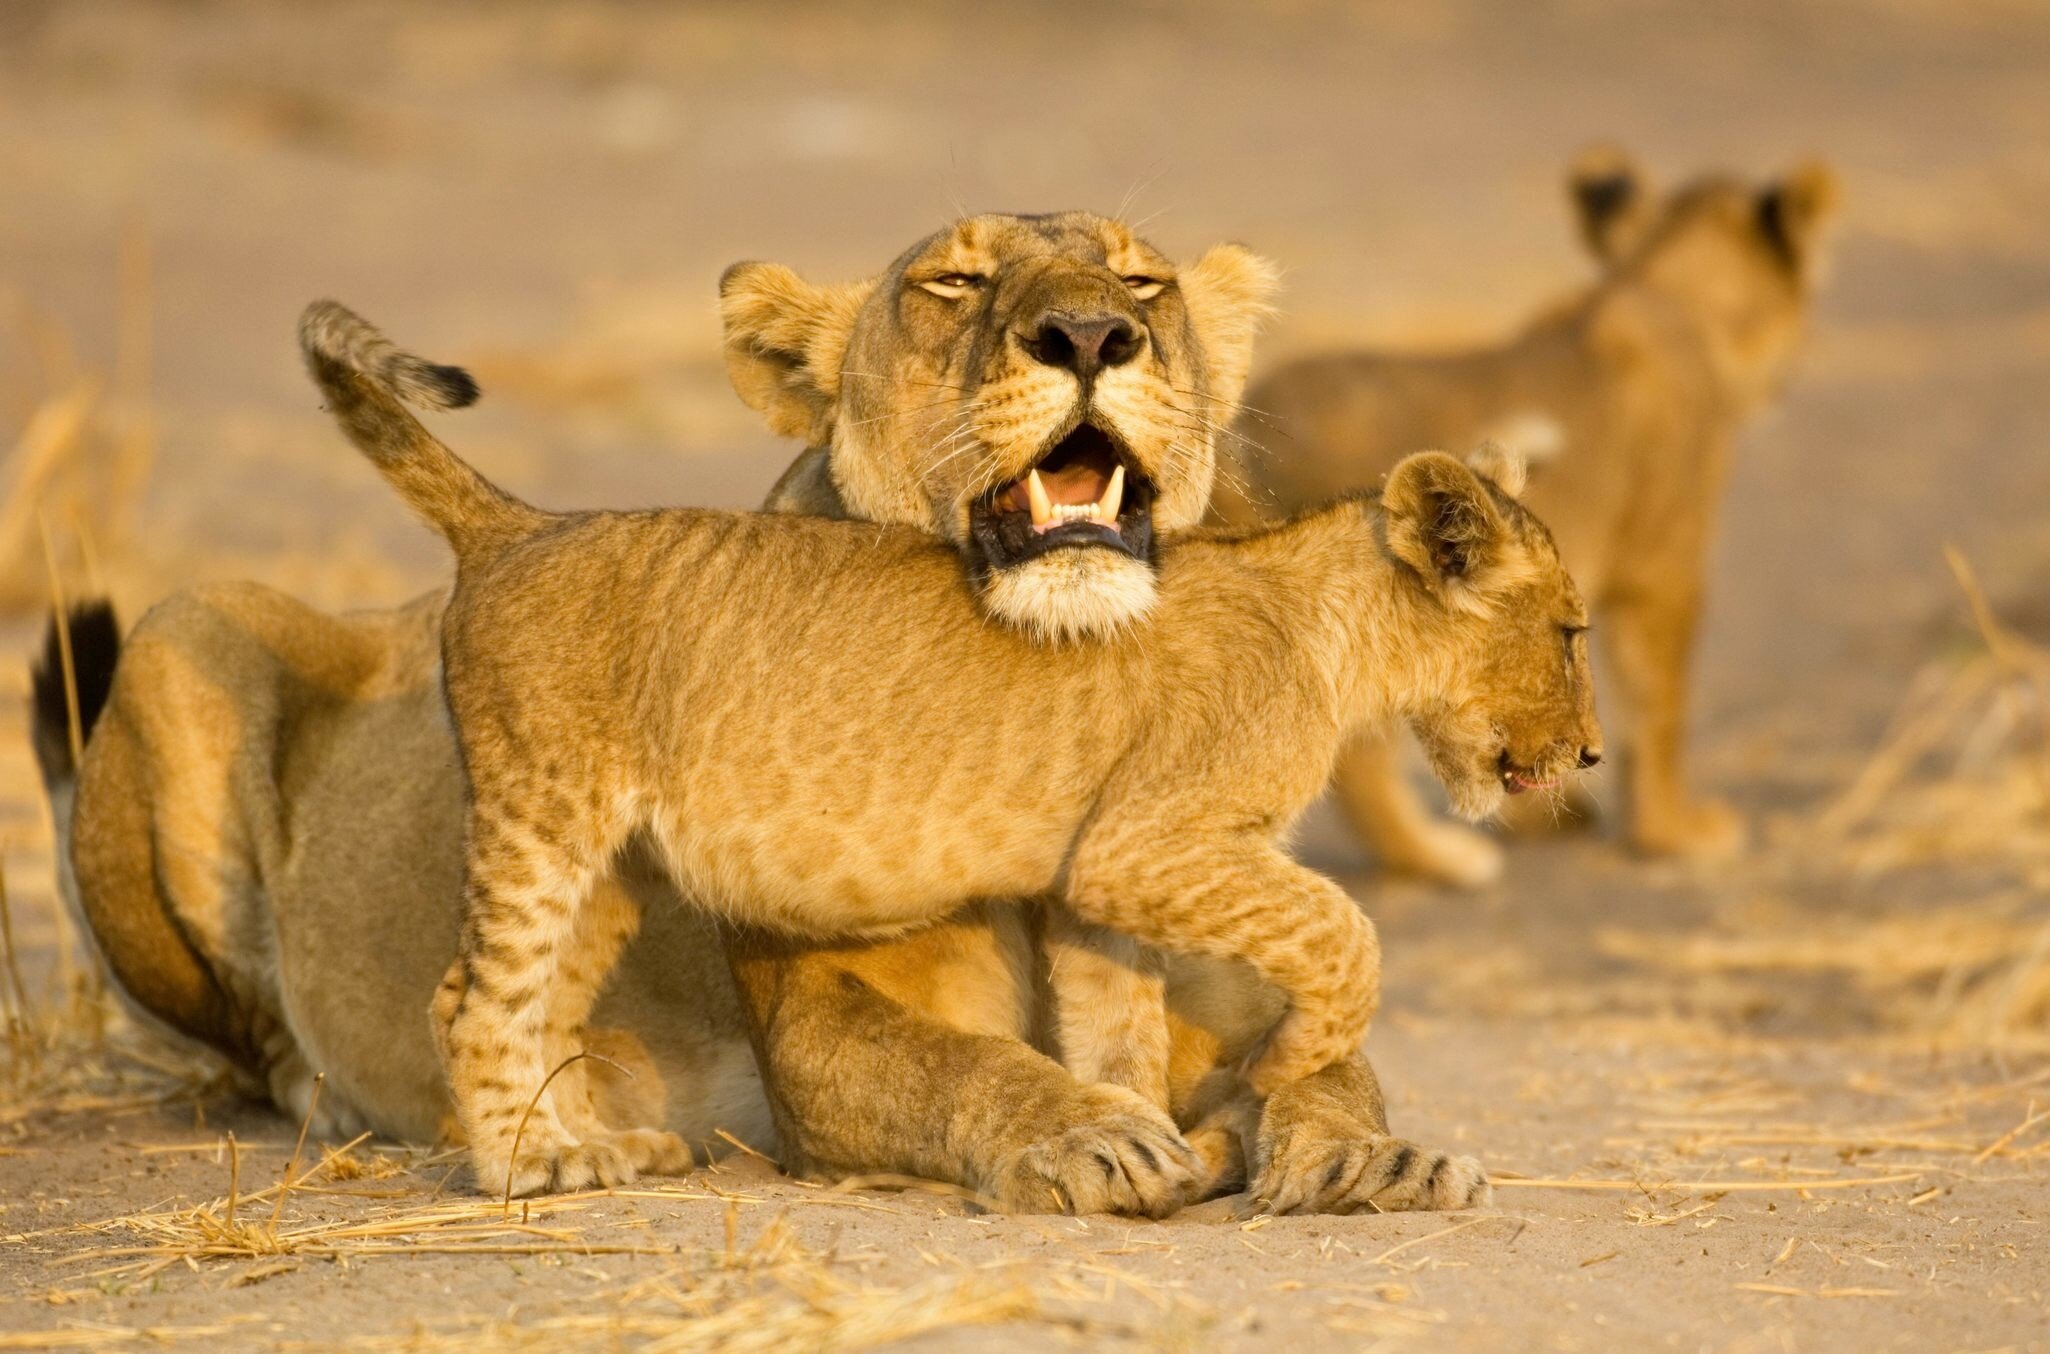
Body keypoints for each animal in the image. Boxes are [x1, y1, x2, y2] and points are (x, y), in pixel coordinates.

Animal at [38, 213, 1484, 1215]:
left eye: (1143, 285)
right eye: (953, 283)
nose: (1087, 337)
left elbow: (1329, 1059)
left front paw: (1375, 1152)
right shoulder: (815, 1033)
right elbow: (965, 1066)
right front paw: (1086, 1133)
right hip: (186, 629)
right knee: (270, 1034)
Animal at [1225, 150, 1839, 885]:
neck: (1662, 289)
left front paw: (1546, 815)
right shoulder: (1664, 564)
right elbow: (1660, 703)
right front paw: (1675, 833)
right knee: (1360, 760)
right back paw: (1443, 857)